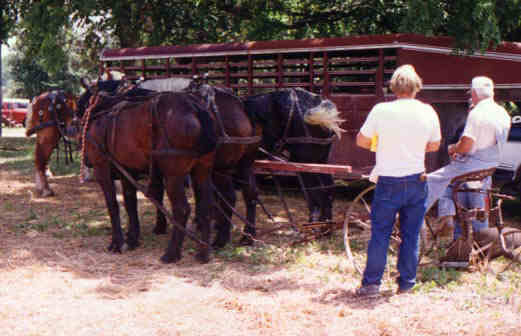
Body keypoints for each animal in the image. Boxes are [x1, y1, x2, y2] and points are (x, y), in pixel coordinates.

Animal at [82, 89, 217, 262]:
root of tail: (194, 107)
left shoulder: (102, 168)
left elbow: (112, 205)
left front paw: (117, 243)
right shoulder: (127, 171)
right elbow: (130, 203)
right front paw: (132, 239)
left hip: (173, 176)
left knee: (182, 209)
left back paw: (171, 253)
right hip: (202, 170)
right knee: (206, 207)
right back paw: (203, 253)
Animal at [244, 88, 346, 234]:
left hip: (305, 161)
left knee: (317, 193)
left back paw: (316, 227)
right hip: (319, 161)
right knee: (327, 190)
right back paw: (324, 227)